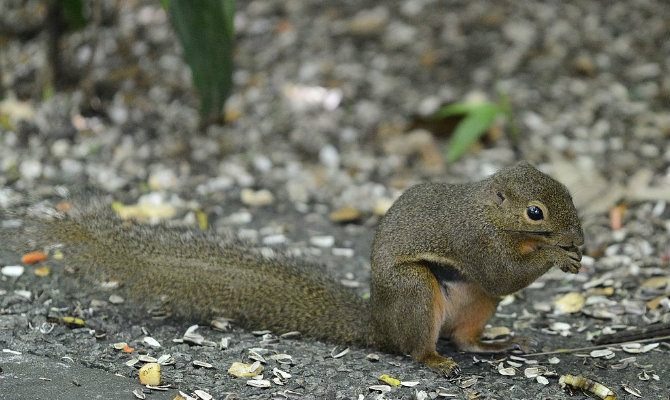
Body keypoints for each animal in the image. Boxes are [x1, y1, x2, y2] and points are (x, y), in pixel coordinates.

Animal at [14, 161, 583, 376]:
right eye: (536, 213)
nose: (578, 237)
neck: (491, 214)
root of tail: (380, 323)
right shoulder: (475, 242)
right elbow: (501, 271)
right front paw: (556, 255)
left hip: (475, 305)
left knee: (464, 335)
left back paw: (490, 346)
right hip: (417, 292)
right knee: (418, 345)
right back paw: (434, 360)